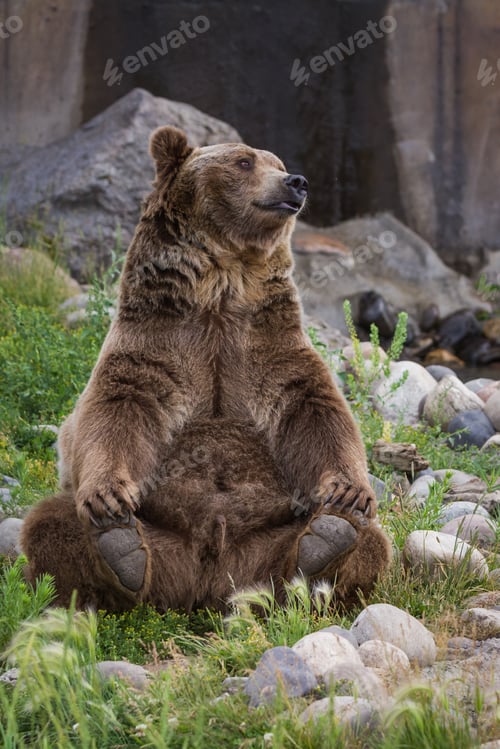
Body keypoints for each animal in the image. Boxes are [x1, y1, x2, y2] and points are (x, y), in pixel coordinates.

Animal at [21, 127, 391, 613]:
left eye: (276, 162)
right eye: (243, 161)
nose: (296, 182)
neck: (220, 291)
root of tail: (210, 584)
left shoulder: (268, 347)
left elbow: (315, 409)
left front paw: (349, 492)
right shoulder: (157, 344)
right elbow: (116, 408)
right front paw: (107, 495)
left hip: (264, 545)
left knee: (373, 542)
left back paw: (325, 543)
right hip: (167, 544)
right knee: (49, 523)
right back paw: (120, 549)